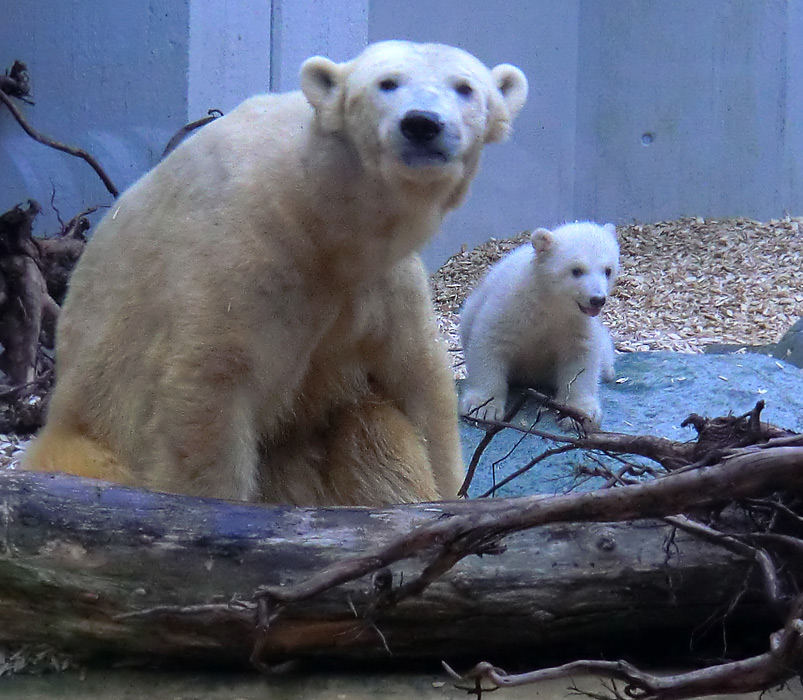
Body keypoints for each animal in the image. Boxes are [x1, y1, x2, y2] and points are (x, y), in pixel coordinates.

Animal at [23, 41, 528, 506]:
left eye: (464, 87)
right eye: (387, 83)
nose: (422, 123)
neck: (320, 216)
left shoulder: (381, 284)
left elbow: (416, 382)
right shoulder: (243, 255)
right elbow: (205, 395)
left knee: (369, 426)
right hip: (89, 430)